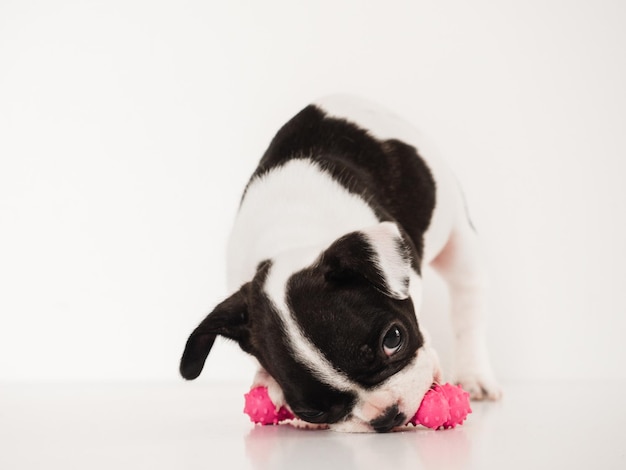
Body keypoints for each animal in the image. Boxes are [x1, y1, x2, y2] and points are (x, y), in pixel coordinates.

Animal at [178, 95, 500, 434]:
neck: (294, 239)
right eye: (313, 411)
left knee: (468, 299)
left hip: (457, 233)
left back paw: (475, 376)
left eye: (394, 339)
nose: (387, 415)